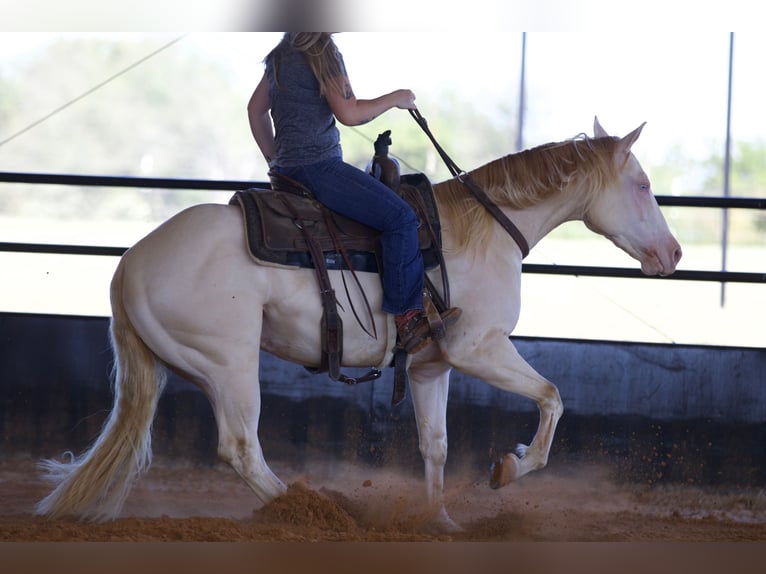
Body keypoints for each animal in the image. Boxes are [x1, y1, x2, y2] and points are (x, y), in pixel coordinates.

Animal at [34, 117, 684, 532]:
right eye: (643, 184)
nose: (673, 253)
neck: (486, 229)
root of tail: (131, 262)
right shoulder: (479, 349)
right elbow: (552, 398)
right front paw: (509, 468)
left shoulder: (431, 368)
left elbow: (435, 446)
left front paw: (440, 520)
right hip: (229, 364)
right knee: (240, 448)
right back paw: (321, 514)